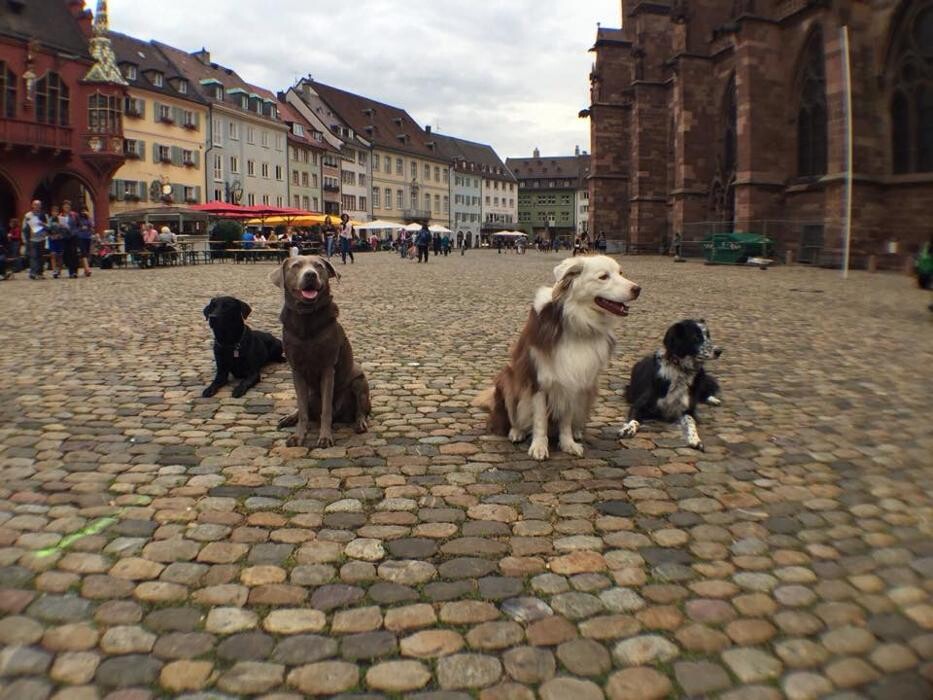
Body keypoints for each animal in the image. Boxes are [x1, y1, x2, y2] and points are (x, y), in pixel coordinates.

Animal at [620, 320, 720, 452]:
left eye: (708, 336)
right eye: (696, 337)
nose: (719, 351)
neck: (680, 369)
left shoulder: (687, 409)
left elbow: (691, 421)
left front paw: (695, 439)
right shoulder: (639, 404)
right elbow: (634, 419)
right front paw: (628, 429)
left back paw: (713, 399)